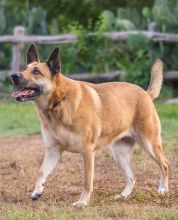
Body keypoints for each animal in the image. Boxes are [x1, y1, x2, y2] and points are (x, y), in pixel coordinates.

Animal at [10, 44, 169, 206]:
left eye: (36, 71)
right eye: (25, 68)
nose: (13, 76)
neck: (59, 101)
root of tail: (145, 93)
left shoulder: (87, 151)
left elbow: (87, 180)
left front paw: (83, 202)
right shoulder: (53, 151)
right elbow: (41, 171)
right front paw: (37, 190)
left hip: (149, 144)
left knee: (164, 164)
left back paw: (163, 189)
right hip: (119, 154)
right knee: (131, 177)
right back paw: (123, 196)